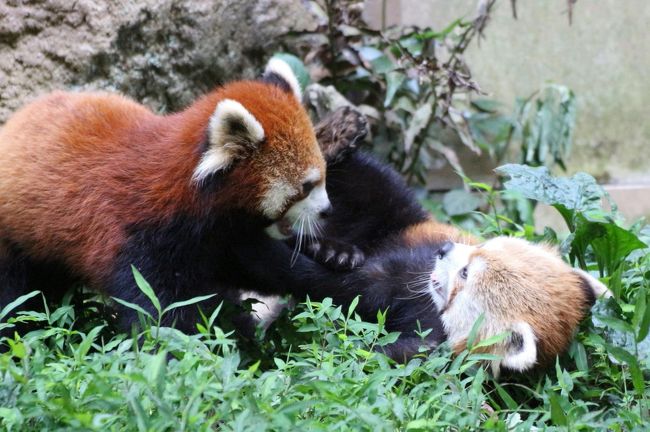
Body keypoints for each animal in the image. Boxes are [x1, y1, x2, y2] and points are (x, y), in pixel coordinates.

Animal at [0, 59, 332, 332]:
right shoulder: (134, 239)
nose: (327, 210)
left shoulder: (223, 237)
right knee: (13, 297)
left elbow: (271, 267)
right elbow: (158, 310)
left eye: (324, 175)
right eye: (306, 186)